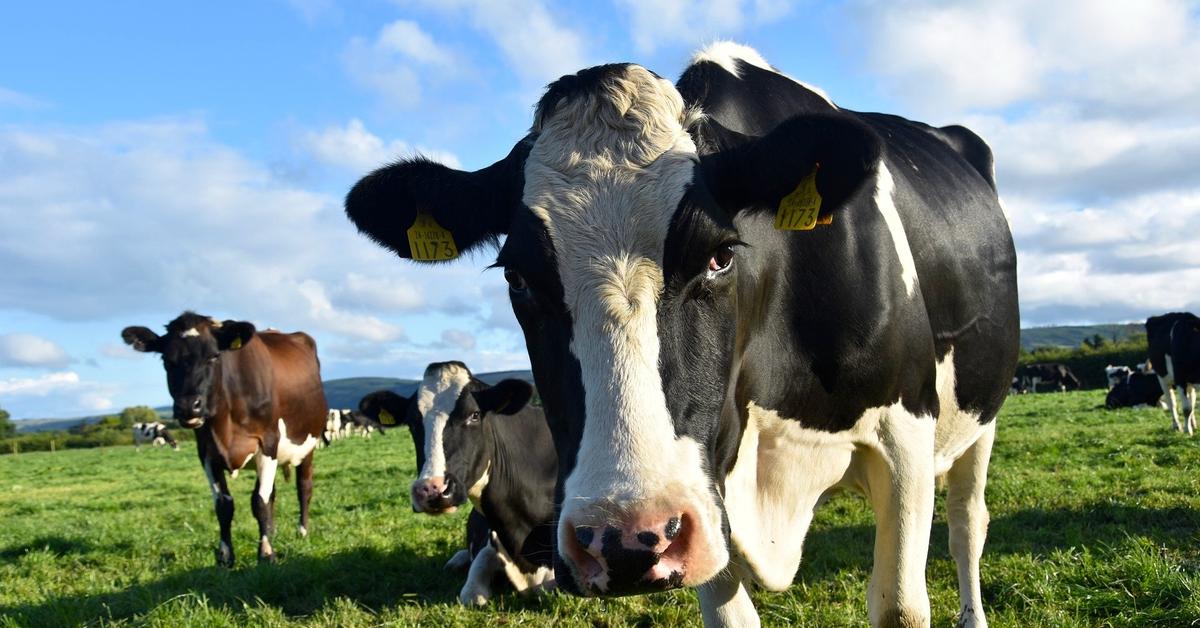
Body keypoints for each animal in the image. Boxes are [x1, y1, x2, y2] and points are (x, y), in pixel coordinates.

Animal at [122, 312, 328, 566]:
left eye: (213, 356)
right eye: (166, 360)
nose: (188, 406)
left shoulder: (268, 443)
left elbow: (259, 501)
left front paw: (266, 553)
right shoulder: (207, 452)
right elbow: (224, 505)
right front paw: (225, 556)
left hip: (308, 445)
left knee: (303, 487)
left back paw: (302, 530)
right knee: (272, 494)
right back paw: (273, 530)